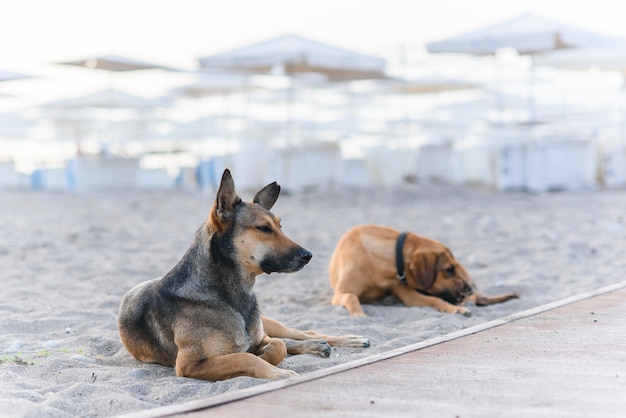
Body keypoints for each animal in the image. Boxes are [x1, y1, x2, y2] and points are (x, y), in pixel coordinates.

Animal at [119, 170, 368, 382]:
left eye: (280, 226)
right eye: (263, 228)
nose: (308, 256)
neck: (228, 292)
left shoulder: (261, 337)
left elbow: (277, 346)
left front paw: (268, 357)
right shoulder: (189, 364)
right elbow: (246, 356)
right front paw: (276, 370)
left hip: (269, 322)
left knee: (300, 333)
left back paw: (347, 339)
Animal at [330, 225, 516, 316]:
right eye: (448, 270)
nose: (468, 290)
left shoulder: (405, 289)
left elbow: (435, 300)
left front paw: (454, 309)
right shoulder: (341, 293)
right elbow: (352, 297)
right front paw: (359, 314)